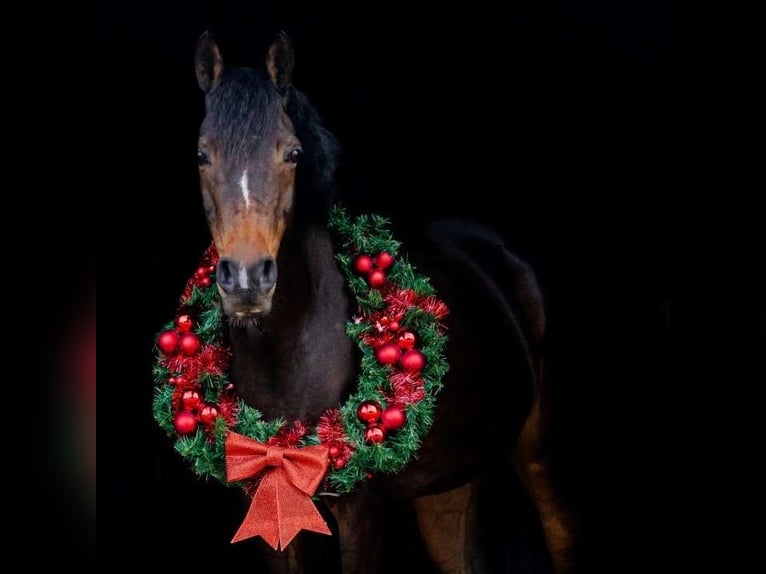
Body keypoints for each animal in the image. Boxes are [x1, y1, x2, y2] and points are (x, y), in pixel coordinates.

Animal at [187, 30, 575, 573]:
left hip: (535, 453)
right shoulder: (266, 512)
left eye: (293, 154)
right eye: (203, 155)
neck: (293, 354)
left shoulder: (362, 513)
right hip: (447, 489)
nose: (246, 280)